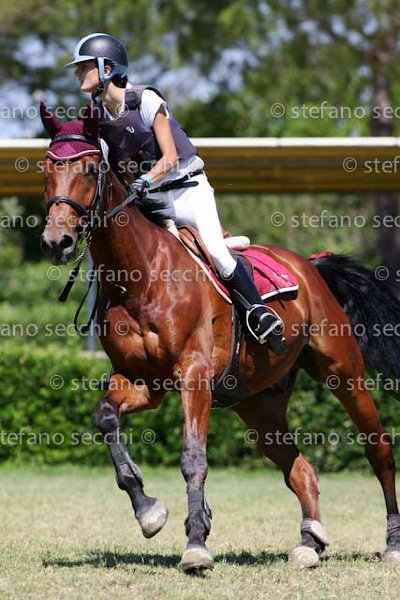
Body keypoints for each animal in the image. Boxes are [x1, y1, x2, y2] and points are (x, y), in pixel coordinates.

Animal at [39, 103, 400, 572]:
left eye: (88, 168)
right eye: (46, 169)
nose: (57, 241)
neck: (138, 274)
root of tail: (310, 265)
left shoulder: (192, 374)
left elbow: (194, 458)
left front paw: (196, 544)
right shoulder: (142, 382)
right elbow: (105, 419)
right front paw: (149, 510)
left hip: (343, 371)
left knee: (379, 449)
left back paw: (392, 543)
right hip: (258, 404)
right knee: (301, 470)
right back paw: (310, 543)